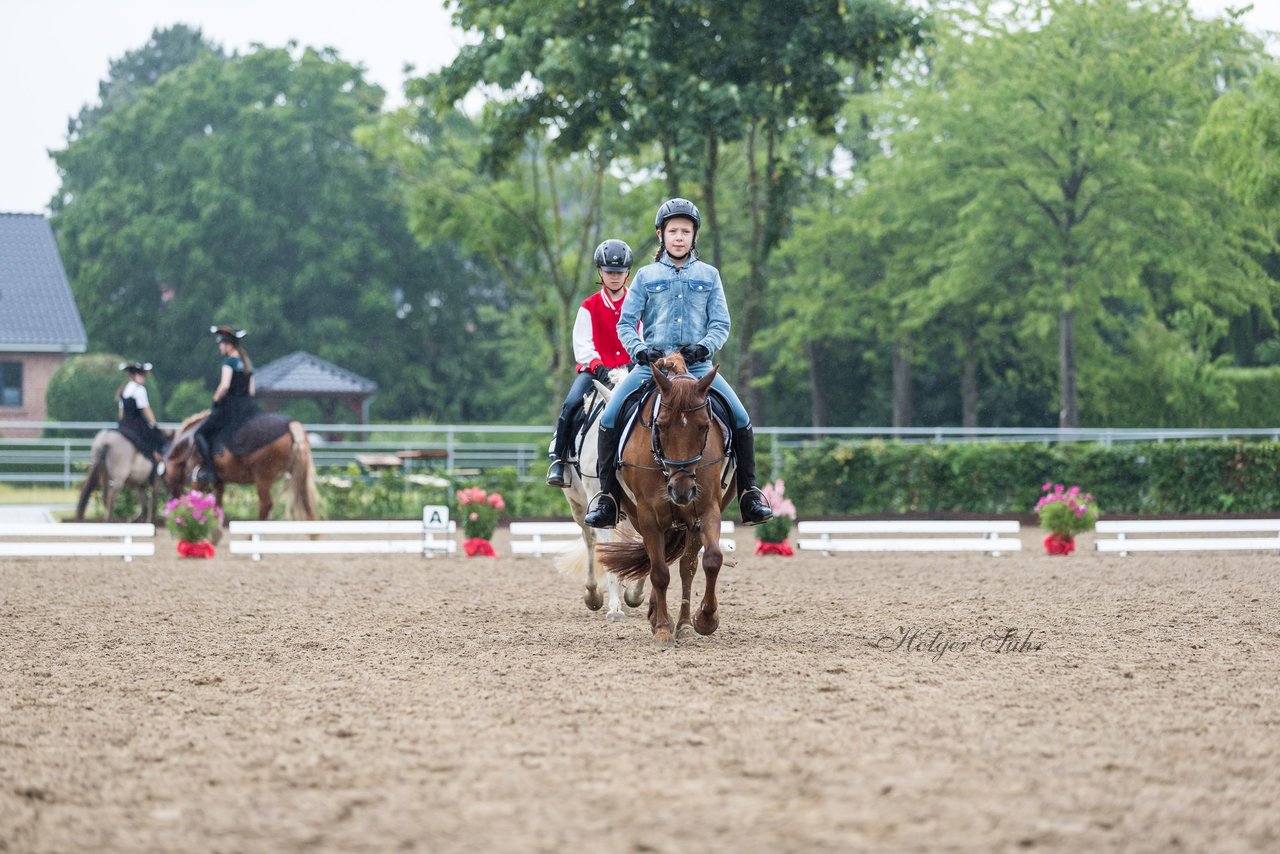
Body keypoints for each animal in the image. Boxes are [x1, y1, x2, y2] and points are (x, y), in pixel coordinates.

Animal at [160, 412, 320, 530]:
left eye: (164, 479)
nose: (170, 499)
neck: (189, 443)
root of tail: (290, 425)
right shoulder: (219, 480)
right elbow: (218, 504)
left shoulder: (199, 480)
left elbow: (197, 502)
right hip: (296, 475)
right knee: (306, 503)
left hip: (263, 477)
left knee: (266, 504)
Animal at [596, 353, 737, 647]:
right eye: (659, 426)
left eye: (704, 427)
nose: (681, 491)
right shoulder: (648, 515)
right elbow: (659, 572)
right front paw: (661, 628)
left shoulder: (706, 510)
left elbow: (712, 559)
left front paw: (706, 619)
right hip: (638, 517)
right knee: (655, 561)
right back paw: (658, 618)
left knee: (687, 567)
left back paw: (683, 623)